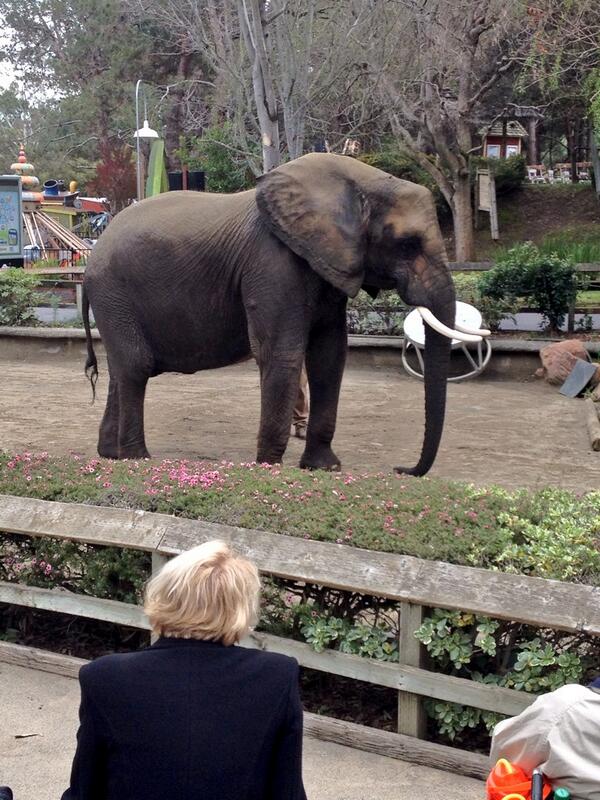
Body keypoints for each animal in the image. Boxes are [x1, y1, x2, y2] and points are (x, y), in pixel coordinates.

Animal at [82, 153, 485, 474]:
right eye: (407, 244)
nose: (402, 469)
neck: (360, 180)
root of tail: (89, 261)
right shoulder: (271, 263)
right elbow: (282, 354)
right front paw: (269, 468)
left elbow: (329, 356)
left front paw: (324, 468)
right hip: (114, 292)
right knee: (136, 366)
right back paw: (138, 460)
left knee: (123, 368)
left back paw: (110, 454)